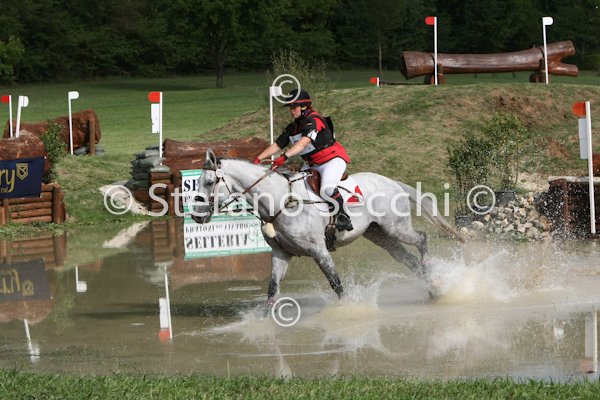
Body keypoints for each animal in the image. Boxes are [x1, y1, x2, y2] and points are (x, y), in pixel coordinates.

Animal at [192, 149, 463, 304]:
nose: (196, 216)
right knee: (407, 259)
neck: (279, 201)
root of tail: (391, 182)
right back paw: (431, 286)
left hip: (396, 228)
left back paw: (433, 278)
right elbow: (272, 291)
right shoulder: (281, 254)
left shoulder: (319, 251)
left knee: (421, 238)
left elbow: (336, 285)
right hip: (379, 234)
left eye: (209, 182)